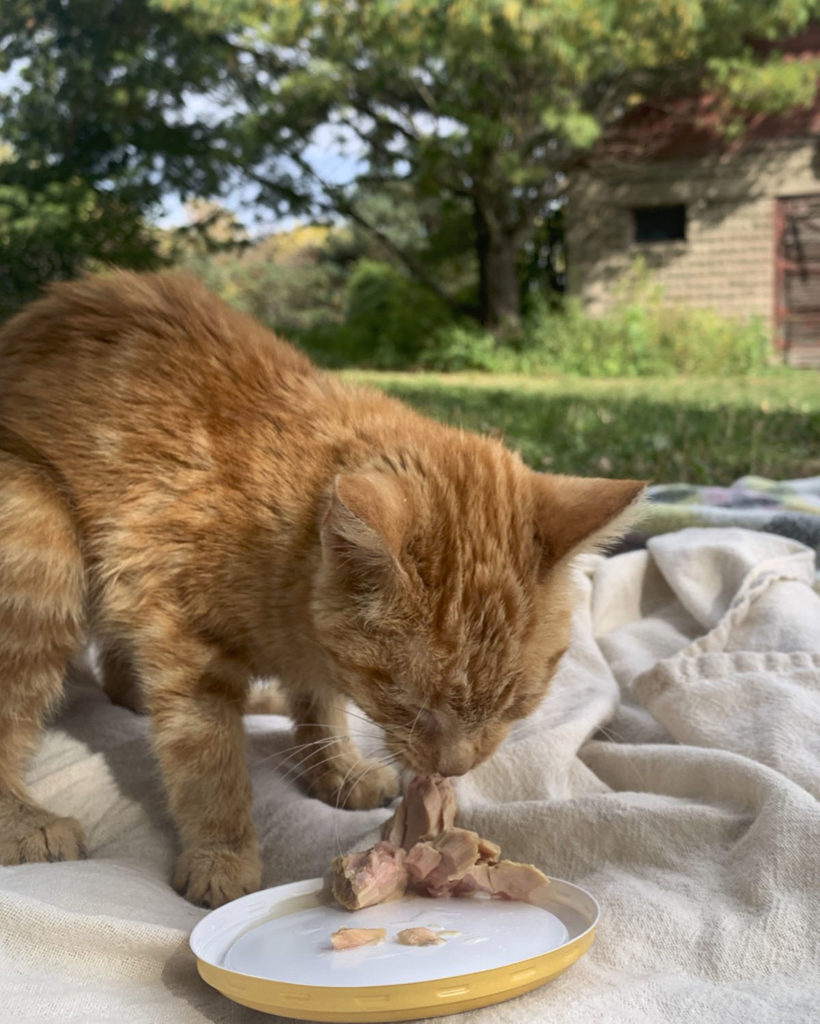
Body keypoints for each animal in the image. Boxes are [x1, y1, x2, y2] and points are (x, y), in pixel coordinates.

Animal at [0, 272, 638, 905]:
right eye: (409, 705)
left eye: (516, 704)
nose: (453, 769)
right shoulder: (179, 638)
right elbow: (209, 761)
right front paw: (222, 852)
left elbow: (320, 701)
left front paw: (337, 766)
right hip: (41, 540)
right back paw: (26, 821)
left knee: (119, 675)